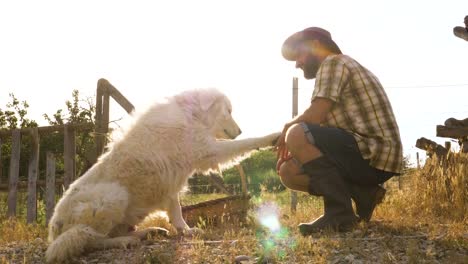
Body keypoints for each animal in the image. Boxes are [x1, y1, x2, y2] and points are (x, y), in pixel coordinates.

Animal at [46, 88, 282, 262]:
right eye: (229, 111)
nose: (240, 130)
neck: (191, 115)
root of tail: (54, 229)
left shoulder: (171, 182)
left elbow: (176, 211)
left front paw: (186, 231)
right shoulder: (208, 150)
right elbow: (247, 143)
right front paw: (273, 136)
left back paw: (149, 232)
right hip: (114, 196)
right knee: (92, 240)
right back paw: (125, 241)